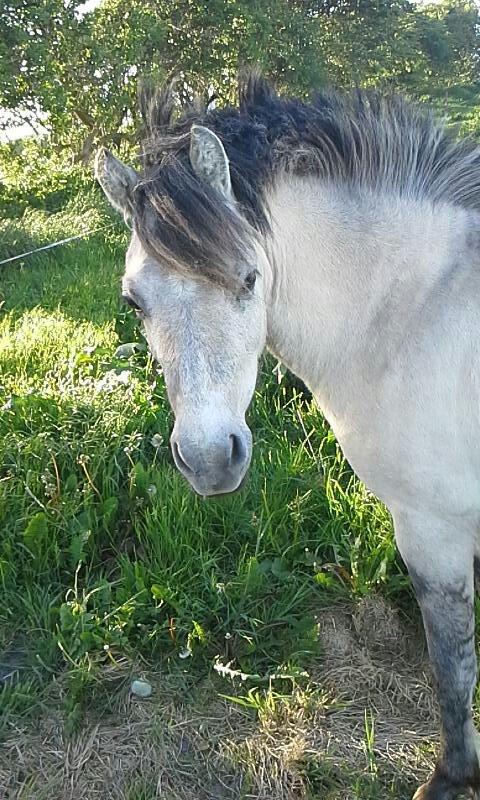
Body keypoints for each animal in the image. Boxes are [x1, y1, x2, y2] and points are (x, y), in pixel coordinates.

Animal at [95, 72, 480, 799]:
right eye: (133, 302)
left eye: (249, 279)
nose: (209, 459)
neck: (418, 310)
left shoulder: (433, 532)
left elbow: (451, 664)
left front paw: (450, 777)